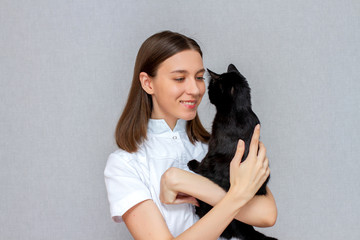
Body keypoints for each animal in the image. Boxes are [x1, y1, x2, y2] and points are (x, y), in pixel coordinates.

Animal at [188, 63, 276, 240]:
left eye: (212, 87)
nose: (207, 93)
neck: (239, 111)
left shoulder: (212, 149)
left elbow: (203, 164)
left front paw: (192, 164)